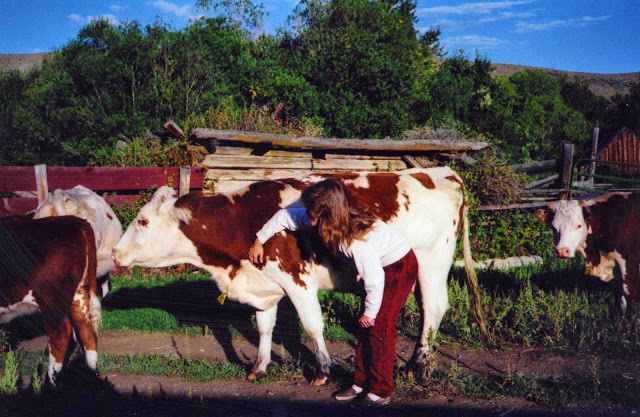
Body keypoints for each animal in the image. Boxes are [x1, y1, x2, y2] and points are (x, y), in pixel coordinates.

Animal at [0, 215, 101, 386]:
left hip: (51, 300)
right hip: (80, 292)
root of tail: (75, 221)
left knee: (61, 334)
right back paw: (92, 375)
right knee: (86, 329)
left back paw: (50, 385)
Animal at [112, 167, 489, 384]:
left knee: (434, 308)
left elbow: (311, 325)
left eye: (142, 221)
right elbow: (265, 327)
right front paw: (259, 368)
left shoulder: (298, 279)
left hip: (432, 262)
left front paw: (322, 371)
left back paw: (416, 365)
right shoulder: (265, 285)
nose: (115, 252)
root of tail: (444, 173)